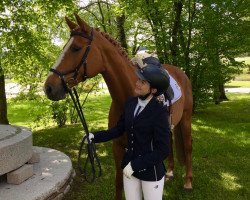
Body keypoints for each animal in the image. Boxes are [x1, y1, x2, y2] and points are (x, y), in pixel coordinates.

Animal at [44, 13, 193, 198]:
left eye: (76, 48)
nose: (48, 87)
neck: (128, 97)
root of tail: (181, 73)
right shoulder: (117, 147)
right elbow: (118, 183)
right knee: (170, 145)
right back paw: (170, 172)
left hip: (186, 119)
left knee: (188, 147)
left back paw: (188, 182)